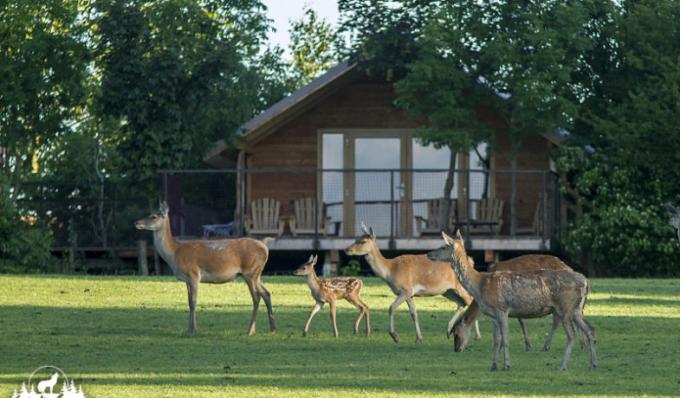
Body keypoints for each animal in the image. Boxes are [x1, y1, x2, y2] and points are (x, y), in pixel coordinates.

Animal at [135, 202, 276, 336]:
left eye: (153, 216)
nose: (136, 222)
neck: (174, 253)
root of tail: (264, 245)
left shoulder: (193, 274)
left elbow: (193, 302)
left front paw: (192, 331)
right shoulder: (186, 279)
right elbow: (189, 302)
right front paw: (189, 329)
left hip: (250, 271)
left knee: (256, 297)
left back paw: (250, 330)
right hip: (257, 274)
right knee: (266, 293)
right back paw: (273, 328)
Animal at [346, 222, 478, 344]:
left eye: (363, 241)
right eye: (356, 238)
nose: (347, 250)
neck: (390, 271)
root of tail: (470, 261)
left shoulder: (406, 290)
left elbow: (391, 308)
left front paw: (395, 336)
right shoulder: (410, 294)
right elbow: (414, 314)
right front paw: (419, 338)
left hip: (460, 287)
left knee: (472, 301)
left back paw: (477, 336)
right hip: (447, 291)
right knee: (461, 303)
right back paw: (449, 331)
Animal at [448, 255, 580, 352]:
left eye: (456, 333)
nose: (456, 349)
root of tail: (568, 267)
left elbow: (519, 321)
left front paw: (524, 345)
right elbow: (519, 320)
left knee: (558, 319)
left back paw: (547, 346)